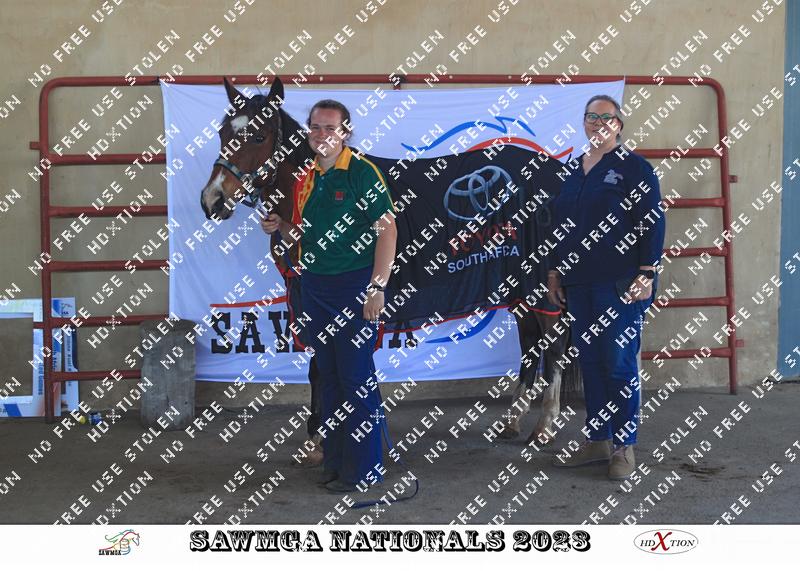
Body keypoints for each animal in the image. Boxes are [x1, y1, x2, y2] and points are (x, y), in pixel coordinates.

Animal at [199, 76, 578, 456]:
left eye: (259, 136)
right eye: (222, 133)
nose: (212, 200)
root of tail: (559, 173)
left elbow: (323, 367)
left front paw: (321, 440)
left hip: (540, 284)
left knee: (555, 343)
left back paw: (544, 427)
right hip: (518, 286)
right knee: (531, 343)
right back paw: (512, 422)